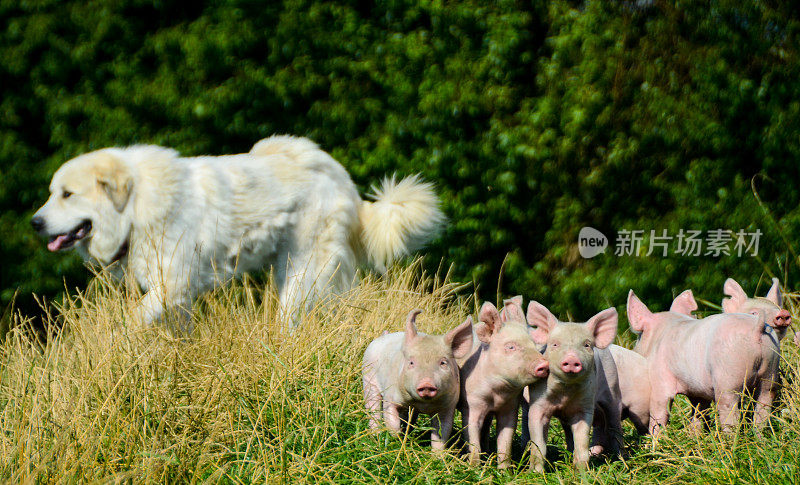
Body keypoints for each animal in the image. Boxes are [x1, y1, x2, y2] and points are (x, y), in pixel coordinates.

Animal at [32, 135, 444, 326]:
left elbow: (131, 321)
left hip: (300, 275)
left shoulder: (171, 285)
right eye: (52, 192)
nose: (35, 223)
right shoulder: (175, 298)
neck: (136, 207)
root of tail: (342, 181)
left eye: (67, 194)